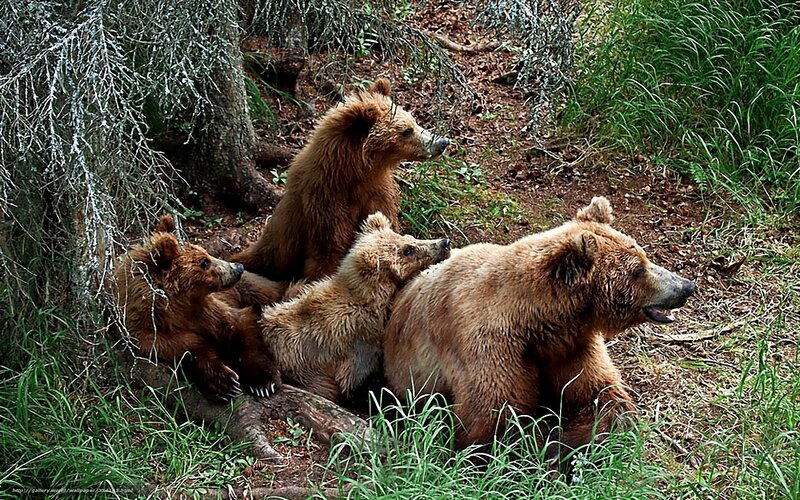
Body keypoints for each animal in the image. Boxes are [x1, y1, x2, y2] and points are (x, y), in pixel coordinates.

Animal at [113, 216, 282, 402]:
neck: (175, 308)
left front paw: (263, 383)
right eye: (204, 262)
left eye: (206, 254)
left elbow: (240, 327)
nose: (238, 268)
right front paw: (226, 385)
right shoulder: (149, 333)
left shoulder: (207, 310)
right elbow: (187, 349)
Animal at [232, 78, 450, 283]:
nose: (442, 142)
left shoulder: (376, 193)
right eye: (406, 131)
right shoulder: (326, 202)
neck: (354, 175)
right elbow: (331, 250)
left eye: (414, 121)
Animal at [383, 196, 695, 458]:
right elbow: (494, 418)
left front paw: (570, 441)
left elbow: (599, 395)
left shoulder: (569, 344)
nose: (686, 286)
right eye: (638, 270)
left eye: (643, 256)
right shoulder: (487, 344)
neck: (536, 321)